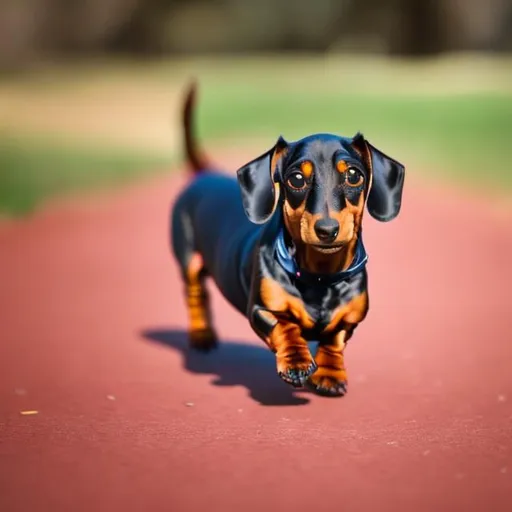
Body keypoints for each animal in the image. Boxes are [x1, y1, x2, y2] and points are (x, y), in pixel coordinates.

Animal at [171, 83, 404, 396]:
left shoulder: (351, 318)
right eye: (296, 179)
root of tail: (205, 174)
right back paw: (201, 335)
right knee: (196, 294)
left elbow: (334, 339)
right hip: (188, 260)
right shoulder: (262, 309)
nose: (327, 230)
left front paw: (329, 374)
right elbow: (284, 326)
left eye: (354, 175)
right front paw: (297, 361)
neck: (321, 276)